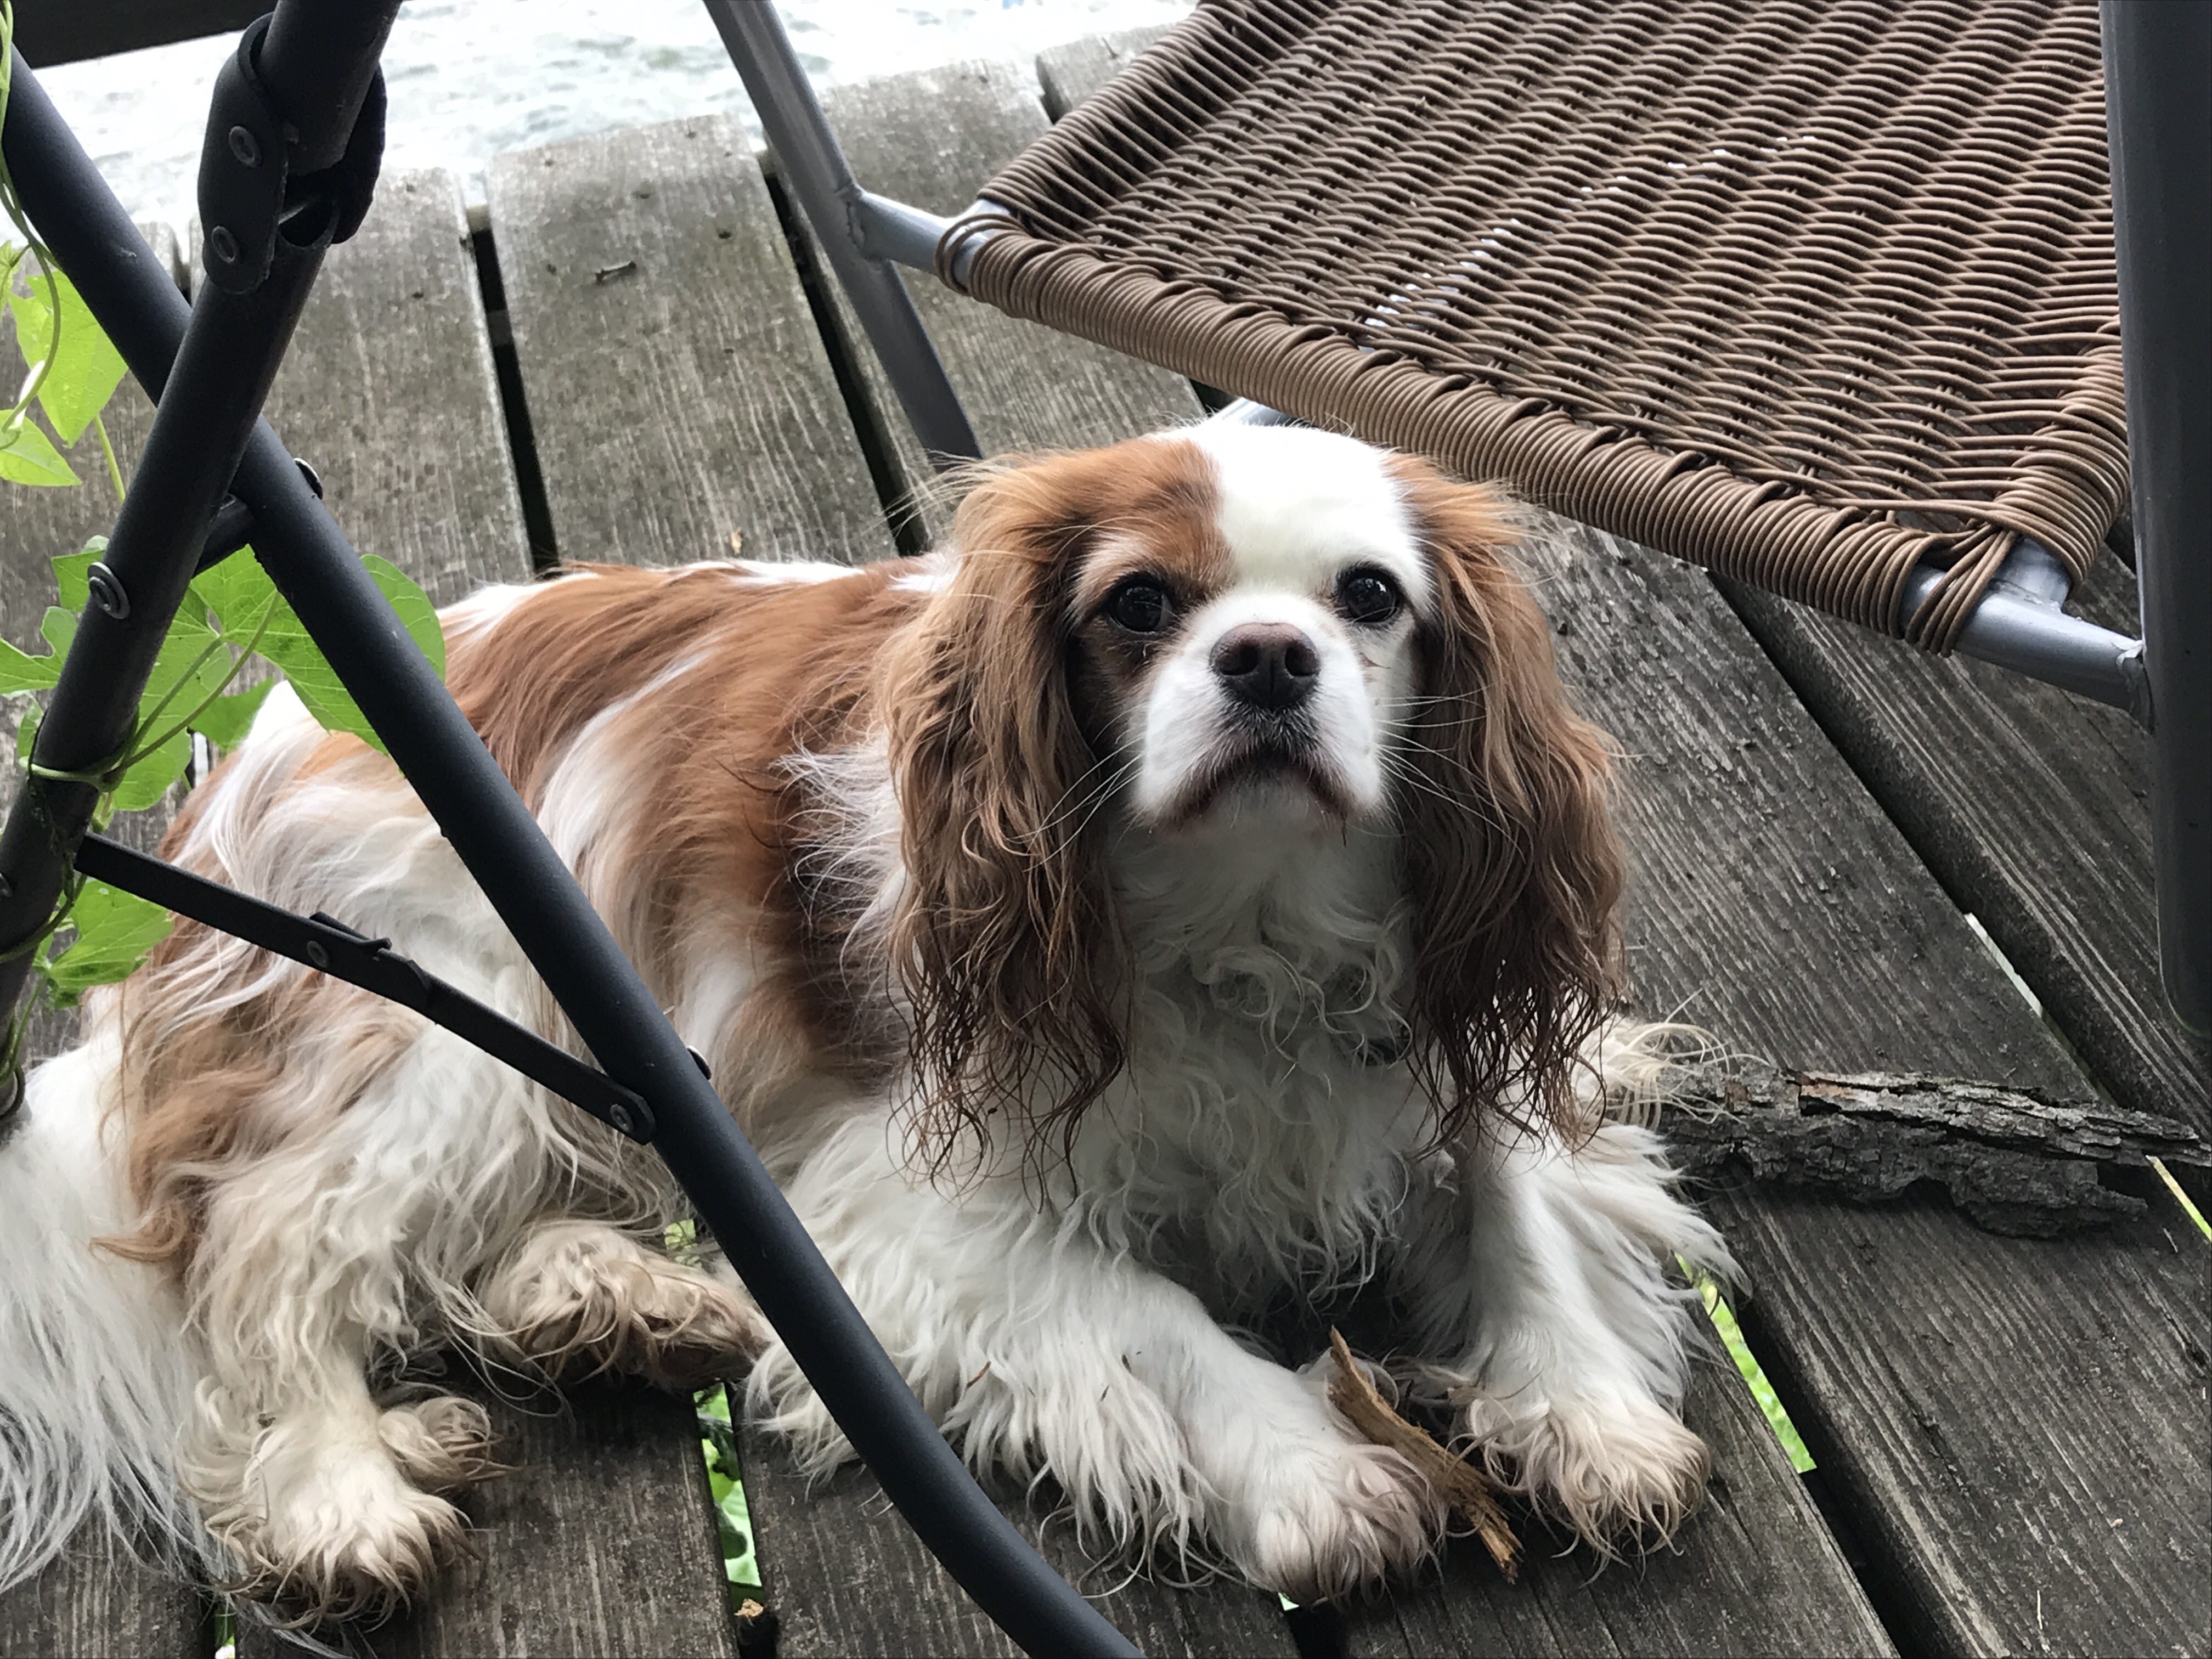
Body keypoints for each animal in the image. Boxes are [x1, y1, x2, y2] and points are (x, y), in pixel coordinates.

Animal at [0, 420, 1727, 1618]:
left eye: (1372, 599)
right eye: (1140, 604)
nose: (1266, 657)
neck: (1244, 922)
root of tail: (241, 756)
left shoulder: (1473, 1048)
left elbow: (1517, 1201)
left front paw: (1583, 1405)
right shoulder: (904, 1206)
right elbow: (1153, 1316)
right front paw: (1308, 1466)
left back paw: (608, 1302)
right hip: (453, 1007)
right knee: (272, 1250)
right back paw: (336, 1493)